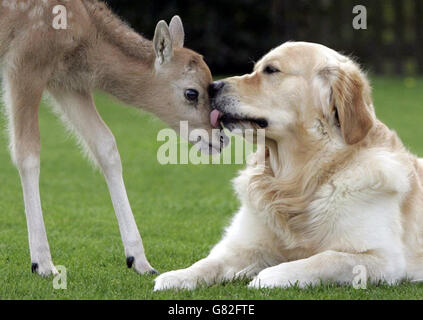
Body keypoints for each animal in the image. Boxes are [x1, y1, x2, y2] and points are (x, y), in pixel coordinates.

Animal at [155, 40, 423, 290]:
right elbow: (211, 261)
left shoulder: (381, 258)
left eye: (271, 70)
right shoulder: (243, 245)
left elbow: (325, 259)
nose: (212, 88)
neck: (297, 180)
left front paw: (267, 276)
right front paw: (177, 276)